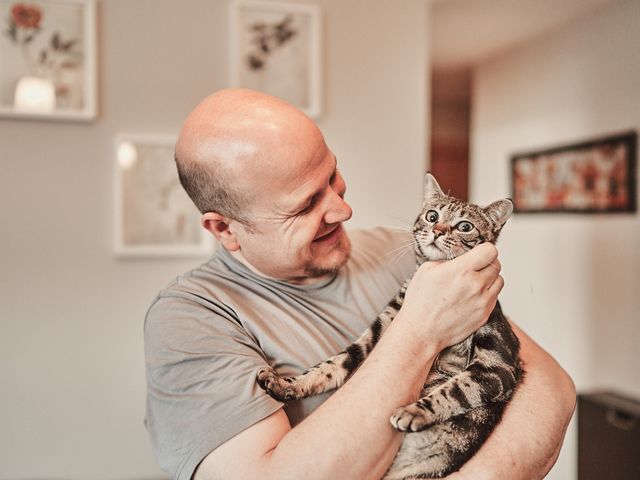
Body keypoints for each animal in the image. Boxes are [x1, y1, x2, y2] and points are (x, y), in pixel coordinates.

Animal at [258, 174, 524, 478]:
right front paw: (285, 383)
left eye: (465, 226)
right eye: (432, 216)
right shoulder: (378, 329)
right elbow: (330, 365)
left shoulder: (498, 364)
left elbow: (456, 389)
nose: (438, 230)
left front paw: (415, 411)